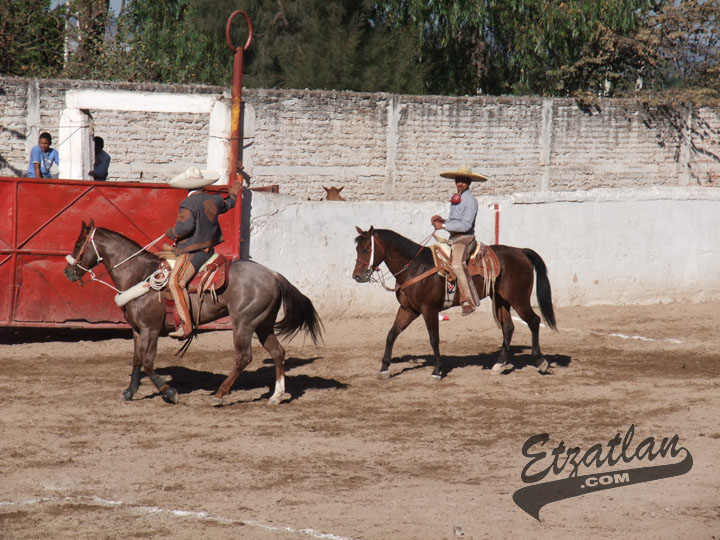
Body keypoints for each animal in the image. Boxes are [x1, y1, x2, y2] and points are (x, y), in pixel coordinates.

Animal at [64, 220, 323, 406]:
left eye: (78, 244)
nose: (68, 272)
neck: (139, 274)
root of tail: (273, 274)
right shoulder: (137, 330)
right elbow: (137, 361)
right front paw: (129, 392)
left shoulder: (150, 330)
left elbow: (148, 363)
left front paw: (169, 392)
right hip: (263, 324)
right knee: (278, 353)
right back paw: (276, 396)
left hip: (244, 324)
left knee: (244, 357)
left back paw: (220, 394)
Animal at [352, 226, 557, 378]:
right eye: (357, 249)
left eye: (366, 249)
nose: (357, 276)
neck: (416, 267)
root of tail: (521, 252)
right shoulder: (408, 309)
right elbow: (391, 334)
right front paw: (384, 368)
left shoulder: (429, 309)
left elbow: (434, 339)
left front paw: (437, 370)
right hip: (501, 300)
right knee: (508, 328)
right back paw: (498, 365)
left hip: (519, 299)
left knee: (534, 321)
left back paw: (541, 362)